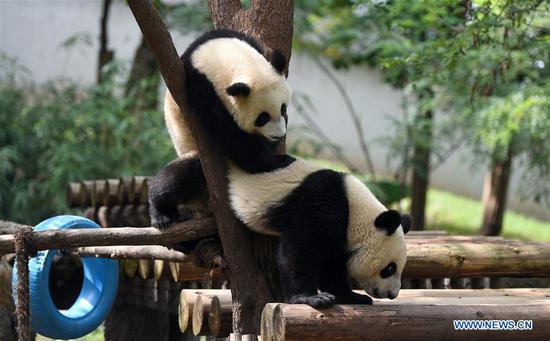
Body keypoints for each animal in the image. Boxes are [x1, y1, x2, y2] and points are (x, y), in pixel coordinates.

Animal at [149, 28, 412, 306]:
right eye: (390, 268)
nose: (392, 294)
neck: (355, 208)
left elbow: (331, 265)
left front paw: (350, 296)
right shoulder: (322, 204)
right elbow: (299, 250)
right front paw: (311, 297)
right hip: (207, 175)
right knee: (177, 180)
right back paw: (163, 214)